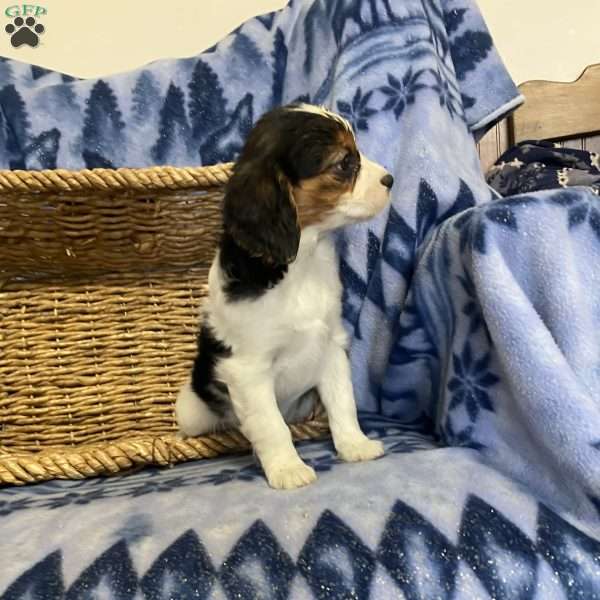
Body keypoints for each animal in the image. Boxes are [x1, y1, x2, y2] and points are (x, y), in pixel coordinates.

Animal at [177, 102, 394, 488]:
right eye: (344, 163)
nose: (390, 180)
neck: (304, 261)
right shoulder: (248, 370)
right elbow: (271, 425)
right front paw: (287, 468)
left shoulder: (332, 346)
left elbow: (343, 402)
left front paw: (355, 445)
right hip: (191, 409)